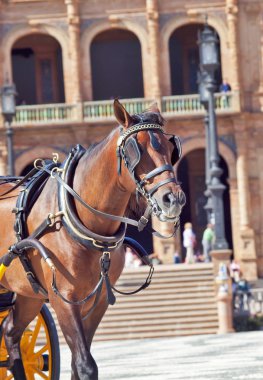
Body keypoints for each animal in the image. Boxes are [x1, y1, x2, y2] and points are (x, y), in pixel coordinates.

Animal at [0, 99, 186, 378]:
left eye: (170, 148)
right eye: (136, 150)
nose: (173, 199)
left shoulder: (96, 302)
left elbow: (79, 362)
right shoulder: (63, 299)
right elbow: (85, 365)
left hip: (28, 294)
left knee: (11, 334)